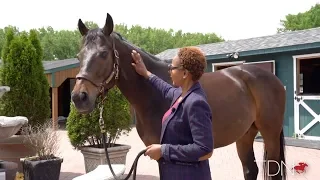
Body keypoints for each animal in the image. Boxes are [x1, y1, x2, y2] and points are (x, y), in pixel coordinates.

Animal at [72, 13, 288, 179]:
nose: (79, 97)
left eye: (103, 54)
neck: (152, 94)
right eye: (79, 56)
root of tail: (274, 80)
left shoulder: (163, 151)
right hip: (245, 134)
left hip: (270, 134)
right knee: (250, 170)